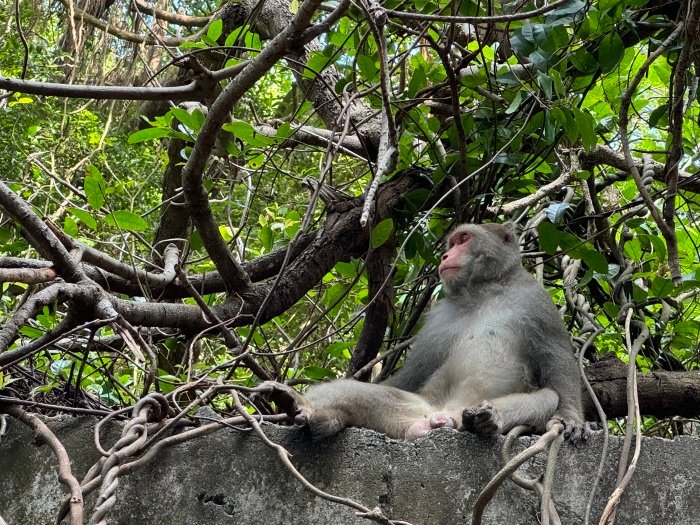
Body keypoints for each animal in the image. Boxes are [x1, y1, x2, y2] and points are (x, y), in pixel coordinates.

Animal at [276, 222, 588, 442]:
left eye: (464, 239)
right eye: (451, 242)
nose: (446, 254)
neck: (483, 290)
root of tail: (444, 415)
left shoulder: (535, 300)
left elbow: (557, 357)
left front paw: (570, 419)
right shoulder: (438, 316)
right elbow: (416, 370)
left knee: (546, 397)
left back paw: (486, 419)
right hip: (419, 407)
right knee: (357, 394)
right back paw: (313, 411)